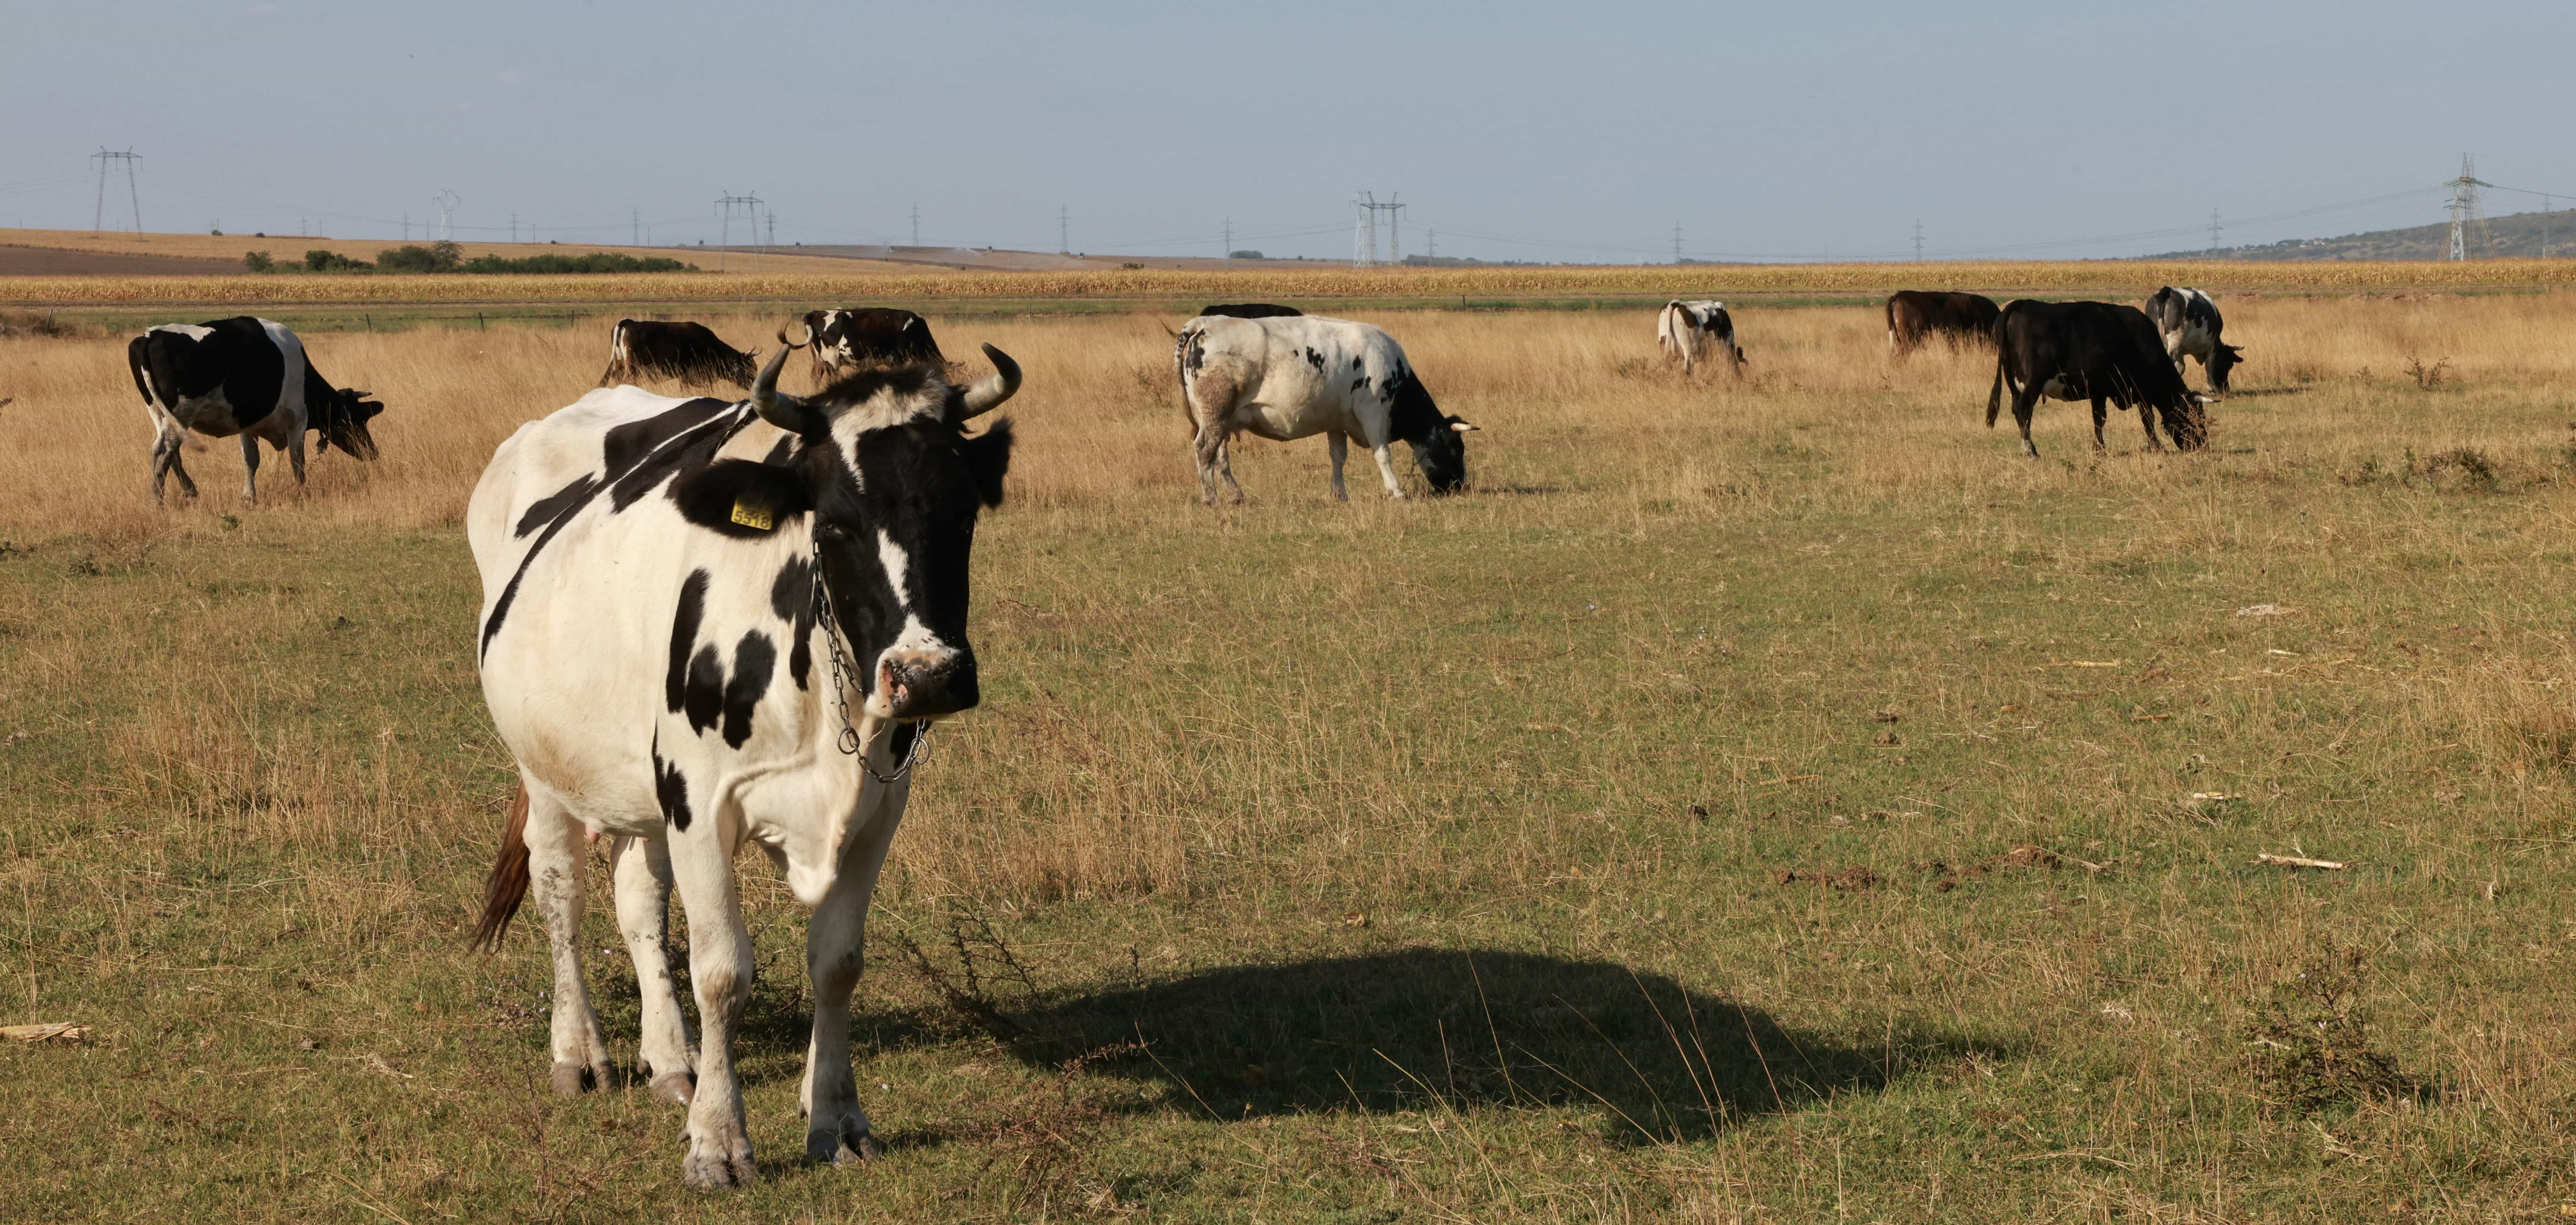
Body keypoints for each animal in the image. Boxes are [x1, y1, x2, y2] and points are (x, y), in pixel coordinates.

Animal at [128, 320, 384, 507]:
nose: (373, 452)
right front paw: (304, 494)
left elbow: (251, 460)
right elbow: (297, 461)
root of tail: (151, 335)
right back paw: (158, 502)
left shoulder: (246, 424)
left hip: (159, 412)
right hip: (183, 411)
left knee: (171, 452)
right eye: (358, 419)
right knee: (163, 450)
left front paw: (249, 497)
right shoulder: (297, 420)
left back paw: (189, 491)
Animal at [469, 325, 1020, 1189]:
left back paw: (671, 1060)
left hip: (640, 787)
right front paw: (718, 1142)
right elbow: (722, 971)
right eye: (832, 528)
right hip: (545, 765)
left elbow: (837, 961)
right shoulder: (700, 800)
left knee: (637, 902)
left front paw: (836, 1117)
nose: (928, 674)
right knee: (562, 893)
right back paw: (580, 1051)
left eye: (962, 515)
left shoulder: (880, 808)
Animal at [1180, 318, 1484, 509]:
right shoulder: (1373, 412)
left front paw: (1340, 494)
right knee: (1205, 450)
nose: (1458, 486)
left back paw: (1235, 496)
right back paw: (1210, 499)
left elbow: (1338, 458)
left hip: (1217, 419)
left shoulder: (1337, 420)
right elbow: (1383, 455)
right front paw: (1395, 491)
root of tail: (1204, 323)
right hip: (1216, 413)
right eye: (1457, 449)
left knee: (1220, 456)